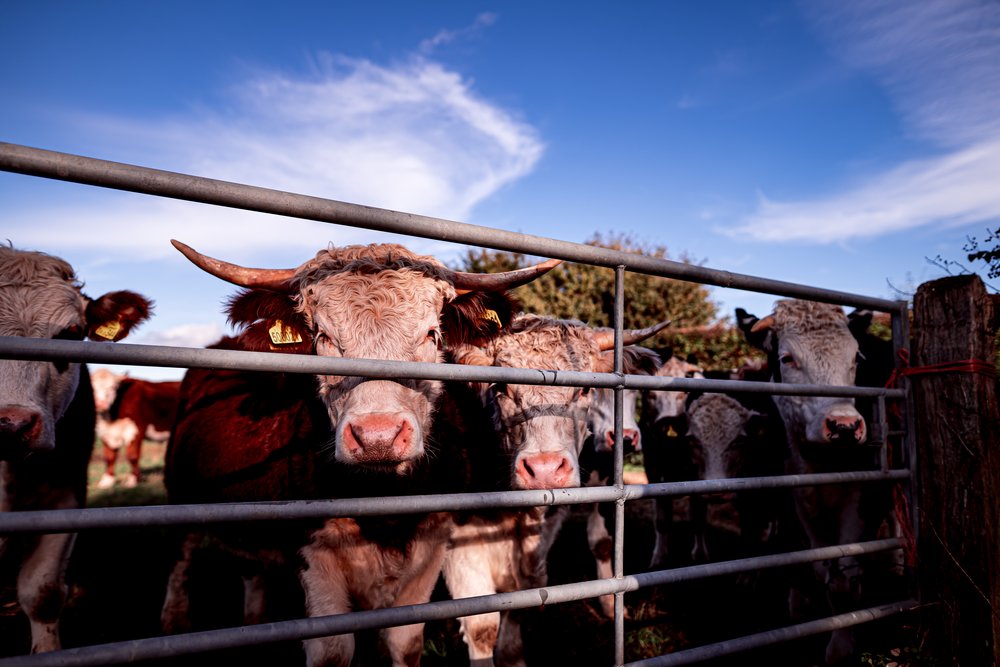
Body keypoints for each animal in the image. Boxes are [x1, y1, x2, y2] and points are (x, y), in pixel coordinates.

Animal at [160, 241, 560, 667]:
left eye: (432, 334)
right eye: (322, 336)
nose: (377, 437)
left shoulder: (431, 547)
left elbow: (405, 642)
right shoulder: (313, 555)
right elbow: (333, 651)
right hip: (180, 496)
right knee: (180, 560)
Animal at [736, 300, 892, 664]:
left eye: (856, 358)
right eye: (787, 358)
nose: (845, 426)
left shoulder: (862, 497)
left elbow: (846, 573)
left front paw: (842, 645)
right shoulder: (799, 496)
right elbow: (821, 566)